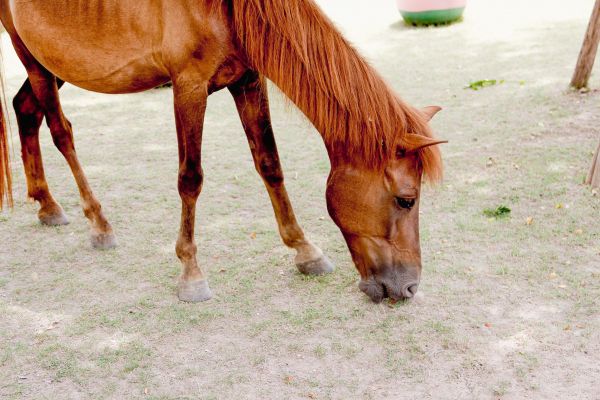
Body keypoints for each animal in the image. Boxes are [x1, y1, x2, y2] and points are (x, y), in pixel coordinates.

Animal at [1, 0, 446, 302]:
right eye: (406, 200)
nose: (409, 286)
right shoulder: (188, 86)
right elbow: (190, 178)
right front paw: (191, 272)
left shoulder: (248, 80)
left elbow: (270, 164)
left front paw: (305, 251)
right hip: (34, 57)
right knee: (61, 132)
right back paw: (97, 223)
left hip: (54, 61)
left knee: (26, 110)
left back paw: (47, 205)